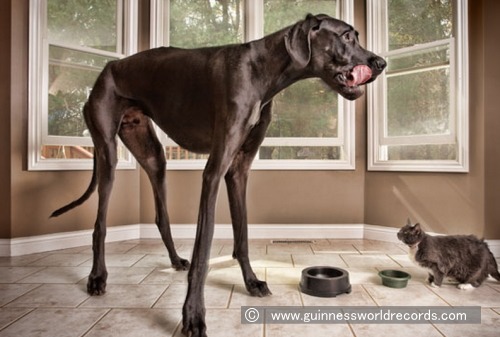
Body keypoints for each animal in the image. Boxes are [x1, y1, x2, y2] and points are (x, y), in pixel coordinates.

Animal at [51, 13, 386, 336]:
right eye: (347, 36)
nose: (381, 63)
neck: (262, 70)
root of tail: (109, 67)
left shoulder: (238, 171)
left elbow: (242, 235)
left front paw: (251, 282)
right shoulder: (213, 171)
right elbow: (204, 246)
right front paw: (192, 314)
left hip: (153, 156)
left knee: (160, 214)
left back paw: (174, 260)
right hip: (107, 152)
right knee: (100, 223)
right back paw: (97, 277)